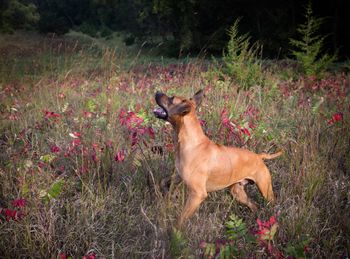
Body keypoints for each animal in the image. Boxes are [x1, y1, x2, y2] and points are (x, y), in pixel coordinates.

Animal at [153, 90, 282, 228]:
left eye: (171, 98)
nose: (157, 92)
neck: (191, 142)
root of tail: (259, 156)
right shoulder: (178, 176)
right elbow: (163, 182)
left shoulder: (197, 194)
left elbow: (181, 218)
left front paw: (176, 230)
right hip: (238, 193)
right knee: (254, 205)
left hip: (266, 190)